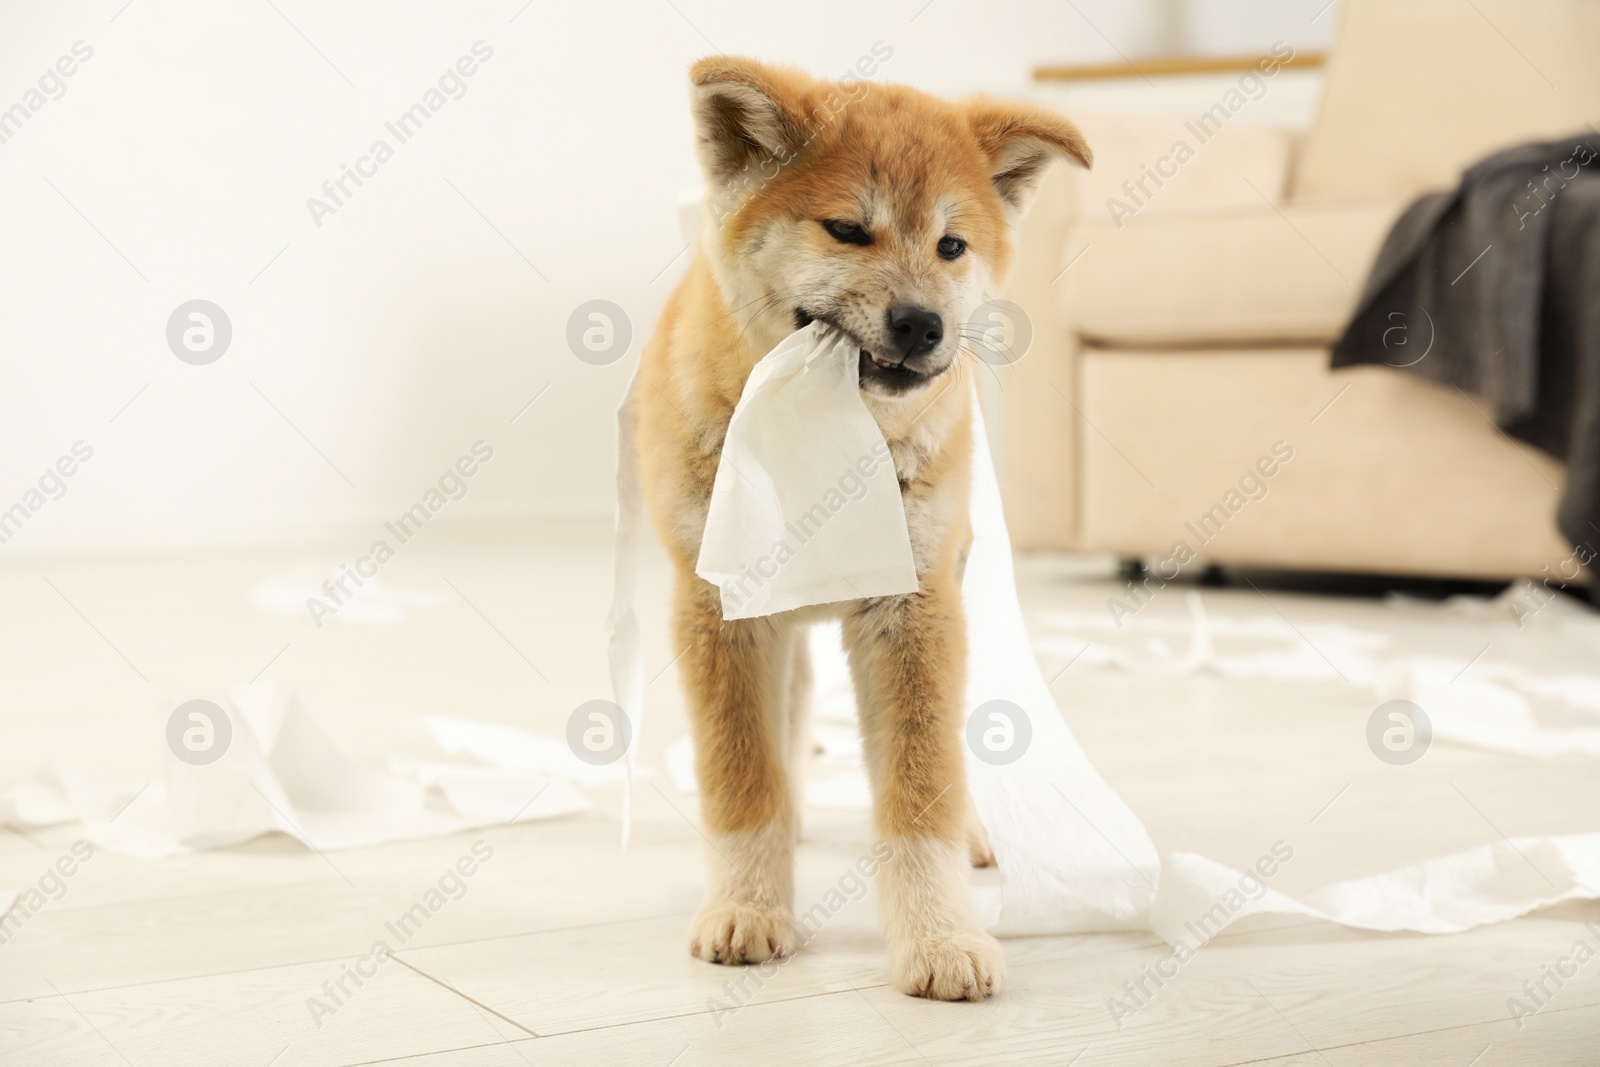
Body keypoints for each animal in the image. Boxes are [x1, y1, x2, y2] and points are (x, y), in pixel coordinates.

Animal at [630, 54, 1094, 998]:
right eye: (848, 229)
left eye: (952, 245)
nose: (922, 324)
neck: (828, 434)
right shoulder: (718, 610)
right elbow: (742, 777)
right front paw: (747, 906)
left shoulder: (913, 610)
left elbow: (921, 788)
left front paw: (940, 936)